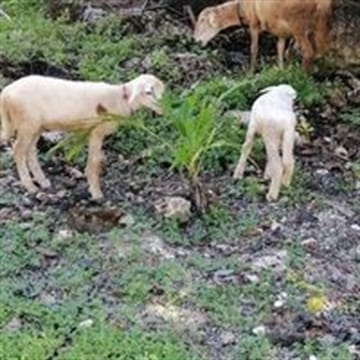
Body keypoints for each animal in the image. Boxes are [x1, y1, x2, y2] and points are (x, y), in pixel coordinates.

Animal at [0, 73, 165, 200]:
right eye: (148, 92)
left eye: (161, 92)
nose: (164, 108)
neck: (120, 99)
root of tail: (6, 92)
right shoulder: (97, 132)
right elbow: (94, 162)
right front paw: (96, 193)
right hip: (27, 123)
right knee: (18, 150)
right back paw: (29, 186)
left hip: (36, 126)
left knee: (30, 151)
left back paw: (42, 181)